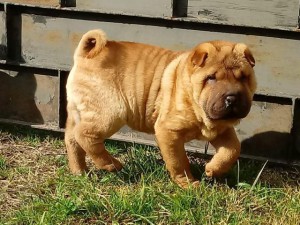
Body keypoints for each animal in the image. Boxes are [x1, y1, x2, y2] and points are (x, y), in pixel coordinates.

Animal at [65, 30, 255, 188]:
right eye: (211, 78)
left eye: (243, 78)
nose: (232, 98)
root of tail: (84, 55)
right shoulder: (168, 131)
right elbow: (178, 161)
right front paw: (187, 183)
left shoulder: (223, 130)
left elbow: (232, 149)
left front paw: (212, 169)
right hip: (110, 112)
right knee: (84, 135)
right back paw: (111, 164)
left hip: (79, 112)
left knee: (72, 139)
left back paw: (79, 172)